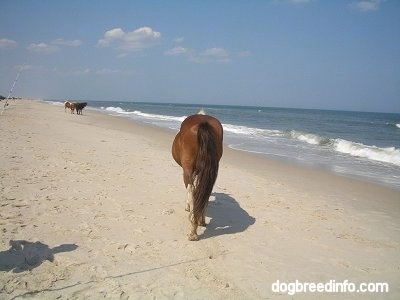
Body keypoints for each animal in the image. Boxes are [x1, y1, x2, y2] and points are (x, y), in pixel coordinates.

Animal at [171, 112, 223, 241]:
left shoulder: (190, 171)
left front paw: (187, 207)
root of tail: (203, 123)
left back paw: (193, 231)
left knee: (192, 191)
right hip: (210, 172)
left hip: (187, 170)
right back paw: (202, 221)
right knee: (205, 191)